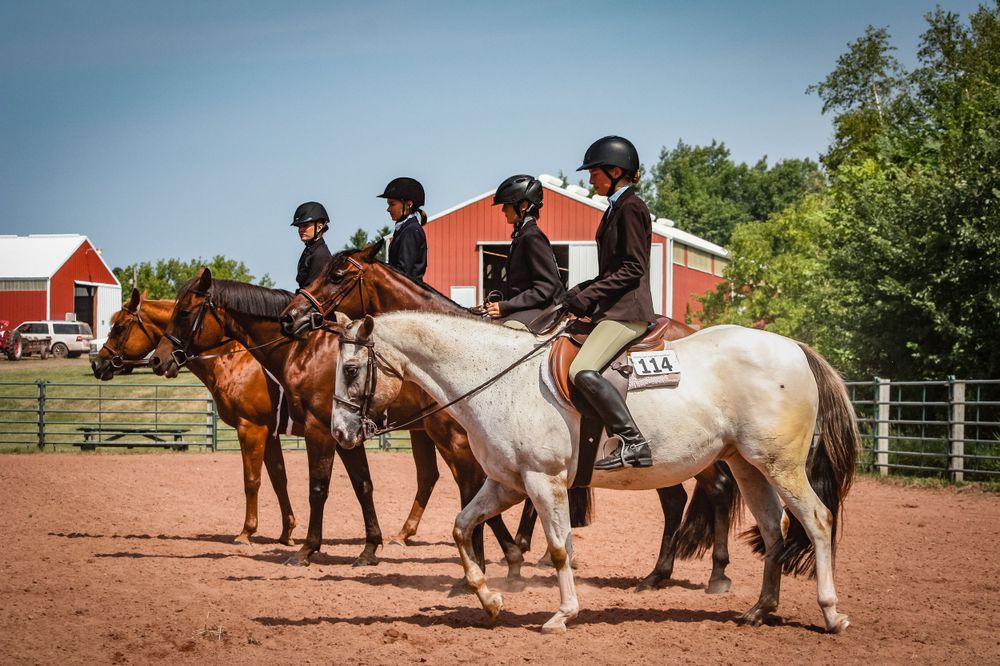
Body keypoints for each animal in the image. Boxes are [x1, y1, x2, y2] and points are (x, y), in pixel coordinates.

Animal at [91, 288, 297, 546]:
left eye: (119, 327)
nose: (97, 363)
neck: (233, 359)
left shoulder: (252, 429)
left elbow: (252, 480)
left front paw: (246, 532)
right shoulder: (269, 433)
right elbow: (279, 480)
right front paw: (287, 532)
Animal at [147, 269, 523, 579]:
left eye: (184, 313)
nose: (159, 359)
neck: (302, 351)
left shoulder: (308, 430)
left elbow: (314, 487)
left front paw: (304, 548)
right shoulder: (343, 434)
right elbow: (361, 485)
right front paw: (369, 549)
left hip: (451, 438)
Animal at [280, 243, 740, 594]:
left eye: (338, 274)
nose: (291, 317)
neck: (476, 365)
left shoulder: (469, 452)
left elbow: (476, 506)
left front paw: (491, 568)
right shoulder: (474, 455)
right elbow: (479, 507)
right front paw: (504, 563)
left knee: (713, 491)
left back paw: (715, 574)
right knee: (679, 499)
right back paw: (660, 574)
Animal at [329, 311, 858, 634]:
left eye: (351, 370)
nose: (339, 432)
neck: (498, 377)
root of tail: (794, 348)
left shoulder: (543, 481)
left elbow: (560, 548)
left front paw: (561, 614)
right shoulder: (507, 483)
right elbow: (461, 528)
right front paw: (491, 601)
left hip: (781, 465)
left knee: (817, 521)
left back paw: (831, 614)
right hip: (748, 465)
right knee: (773, 531)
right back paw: (759, 610)